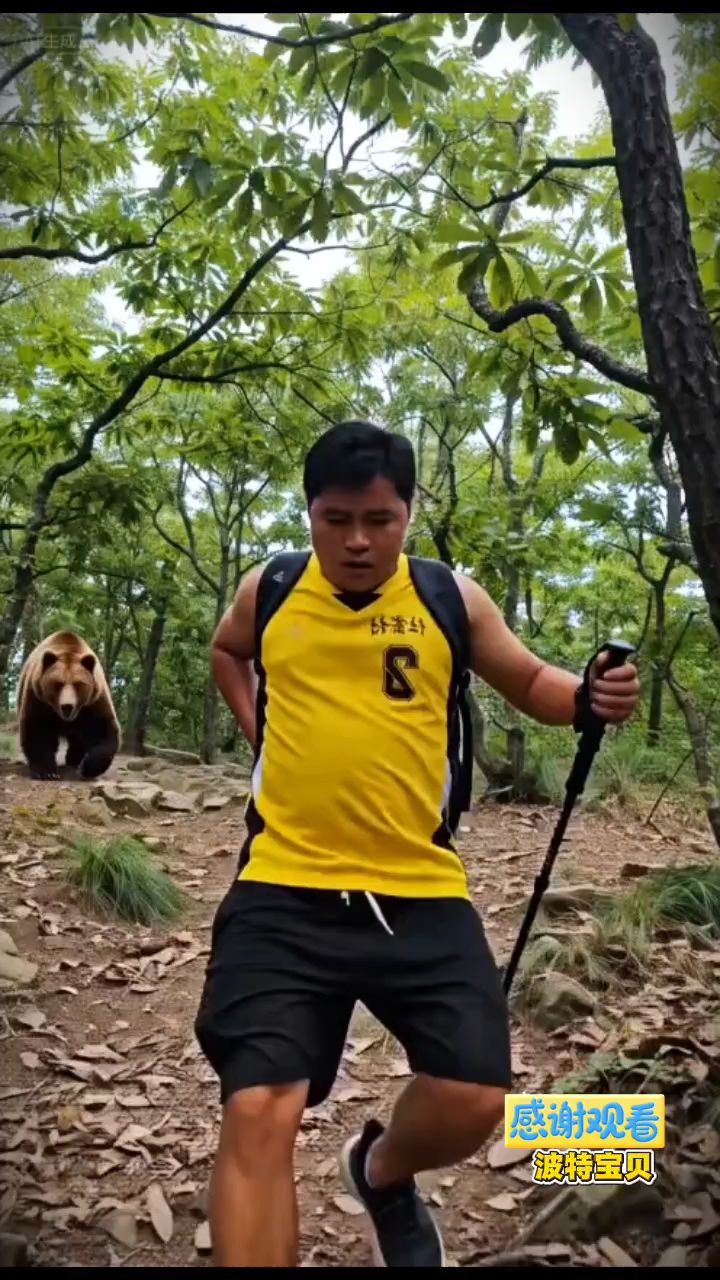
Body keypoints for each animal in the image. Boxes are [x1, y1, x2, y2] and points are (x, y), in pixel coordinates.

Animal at [17, 631, 120, 781]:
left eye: (78, 684)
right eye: (58, 683)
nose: (67, 706)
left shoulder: (93, 702)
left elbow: (103, 730)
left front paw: (88, 768)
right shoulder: (38, 699)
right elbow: (37, 729)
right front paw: (47, 771)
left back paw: (73, 760)